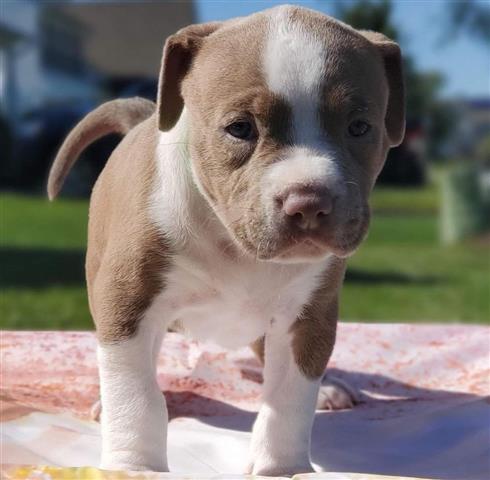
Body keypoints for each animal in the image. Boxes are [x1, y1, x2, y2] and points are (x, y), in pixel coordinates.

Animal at [47, 4, 404, 476]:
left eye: (360, 127)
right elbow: (137, 395)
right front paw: (133, 465)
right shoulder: (127, 300)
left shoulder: (310, 314)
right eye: (239, 129)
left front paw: (283, 467)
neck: (234, 245)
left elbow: (289, 398)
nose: (309, 203)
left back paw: (328, 388)